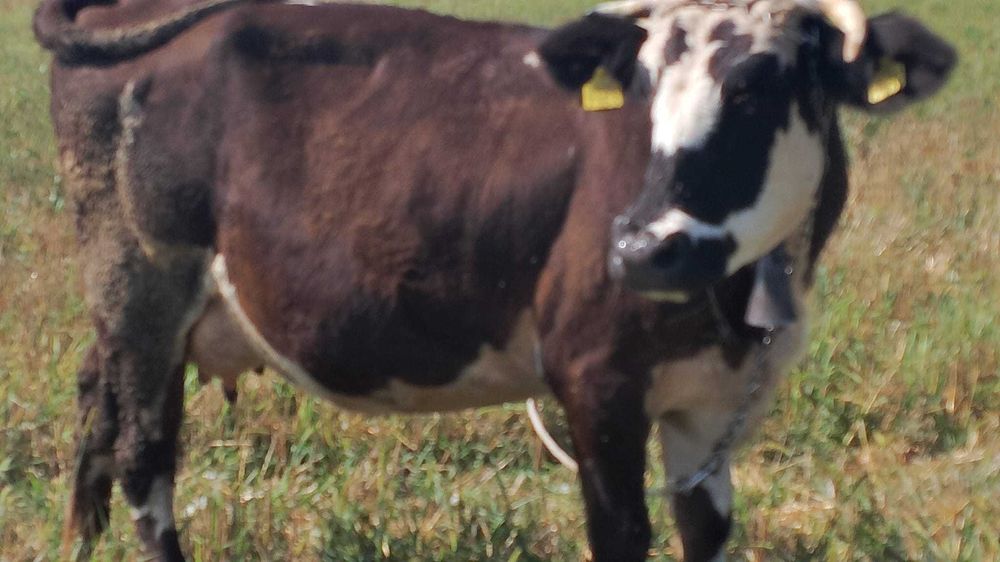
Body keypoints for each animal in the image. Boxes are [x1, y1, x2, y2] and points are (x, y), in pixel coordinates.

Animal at [34, 0, 955, 560]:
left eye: (759, 86)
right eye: (642, 88)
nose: (643, 247)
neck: (735, 307)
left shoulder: (713, 403)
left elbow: (705, 529)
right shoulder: (597, 381)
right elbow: (622, 532)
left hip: (129, 305)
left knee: (94, 402)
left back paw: (79, 543)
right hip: (145, 279)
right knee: (144, 455)